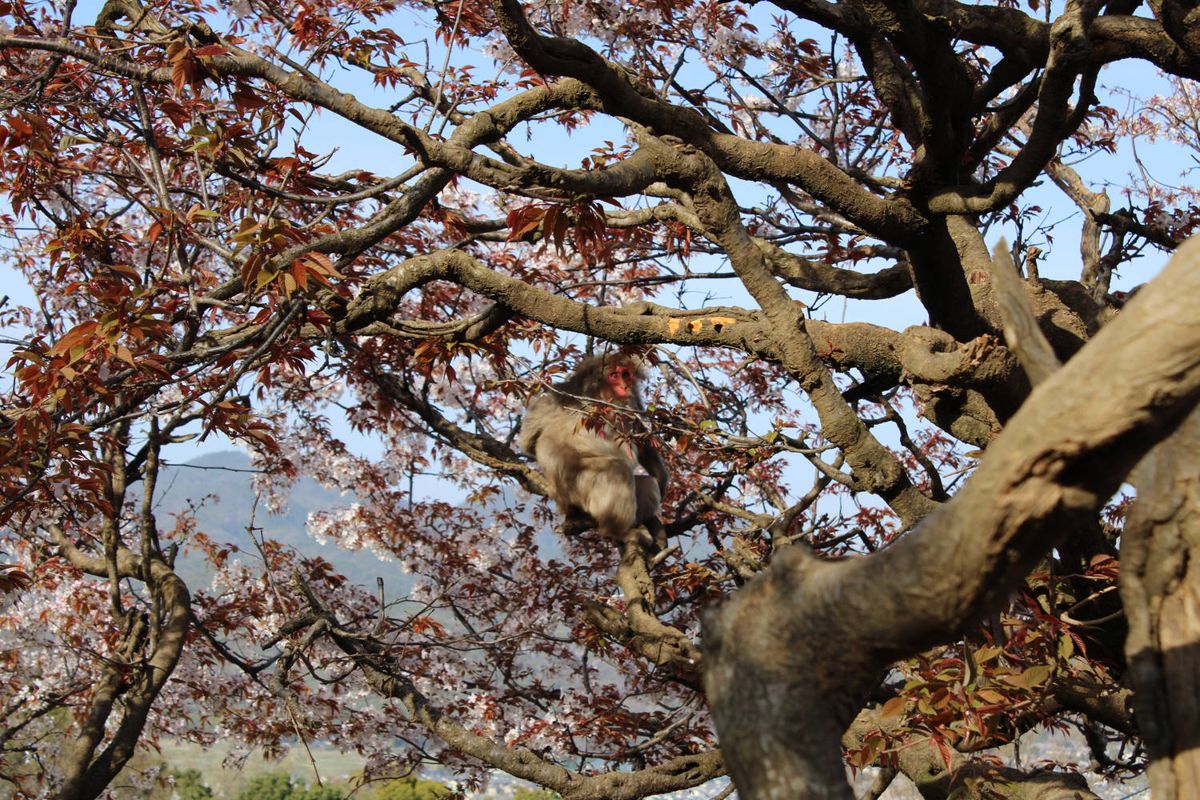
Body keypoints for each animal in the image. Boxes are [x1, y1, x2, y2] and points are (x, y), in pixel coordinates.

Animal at [519, 354, 670, 548]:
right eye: (614, 375)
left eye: (626, 374)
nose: (624, 386)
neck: (599, 398)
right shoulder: (561, 395)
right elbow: (528, 440)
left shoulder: (631, 402)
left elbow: (639, 435)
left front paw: (661, 477)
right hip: (577, 485)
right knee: (616, 470)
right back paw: (618, 531)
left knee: (647, 483)